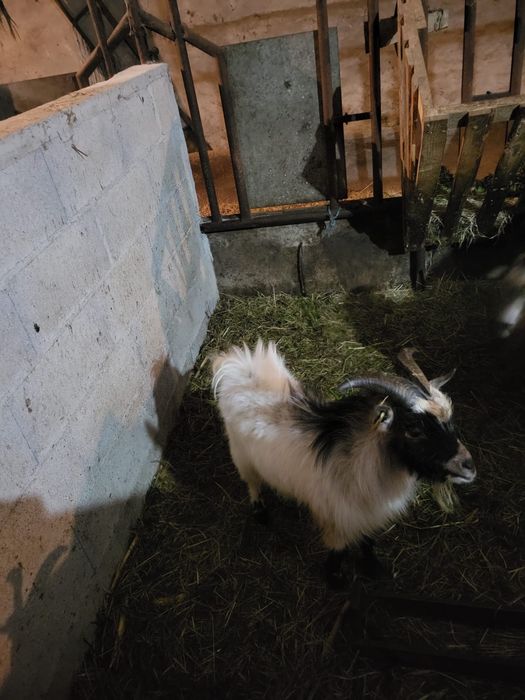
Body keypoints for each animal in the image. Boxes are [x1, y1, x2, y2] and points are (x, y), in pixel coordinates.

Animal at [212, 342, 476, 586]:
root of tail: (240, 365)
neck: (362, 461)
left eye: (451, 421)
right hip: (241, 454)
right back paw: (260, 513)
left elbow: (367, 542)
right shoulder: (338, 518)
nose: (468, 466)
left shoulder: (367, 515)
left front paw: (373, 568)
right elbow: (338, 550)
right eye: (414, 430)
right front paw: (335, 580)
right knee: (252, 482)